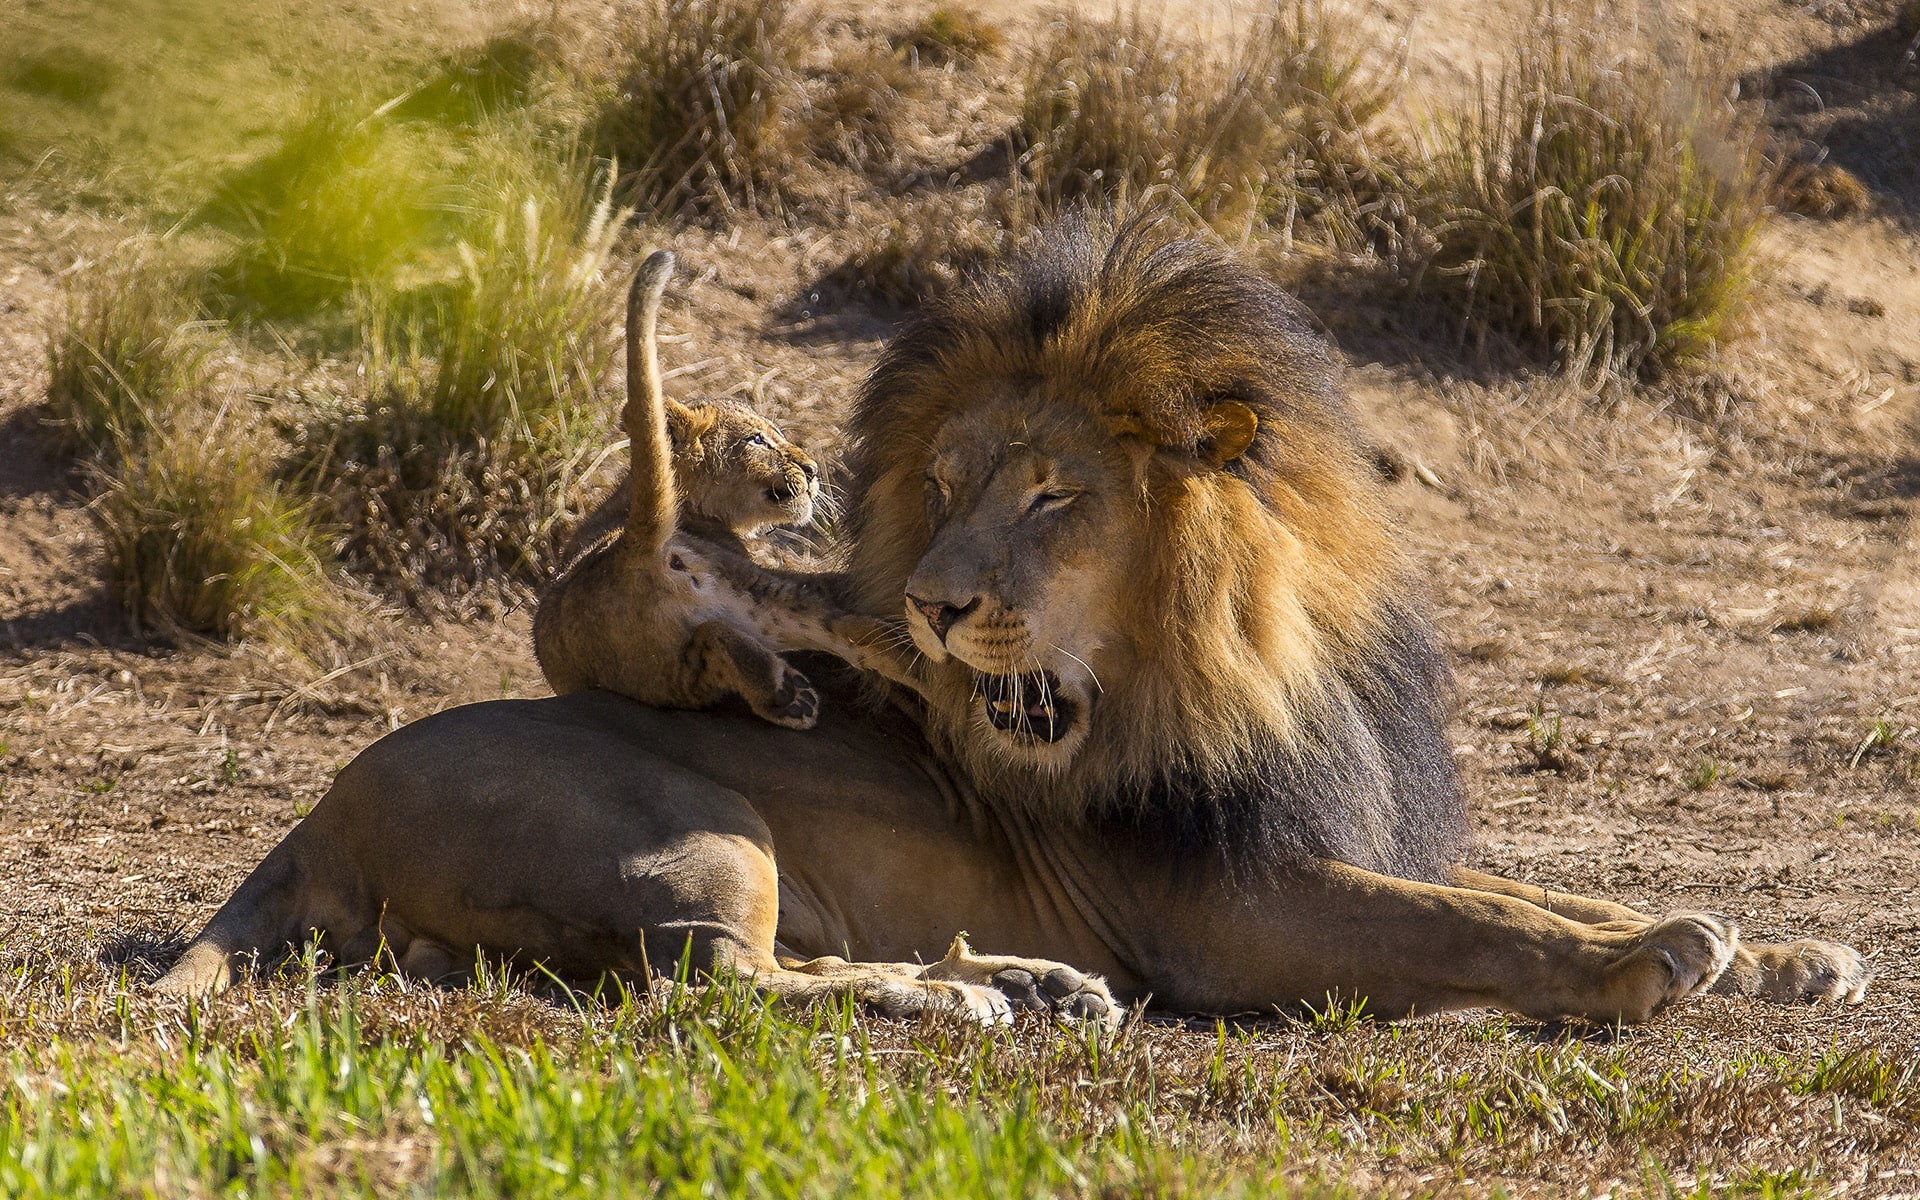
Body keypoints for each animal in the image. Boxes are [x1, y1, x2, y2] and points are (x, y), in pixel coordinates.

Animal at [155, 218, 1869, 1023]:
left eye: (1053, 498)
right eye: (947, 484)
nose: (925, 604)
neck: (1248, 655)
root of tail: (317, 809)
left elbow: (1535, 885)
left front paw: (1780, 951)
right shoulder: (1231, 912)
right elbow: (1475, 923)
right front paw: (1647, 962)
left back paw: (1029, 986)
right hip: (699, 834)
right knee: (716, 983)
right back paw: (982, 998)